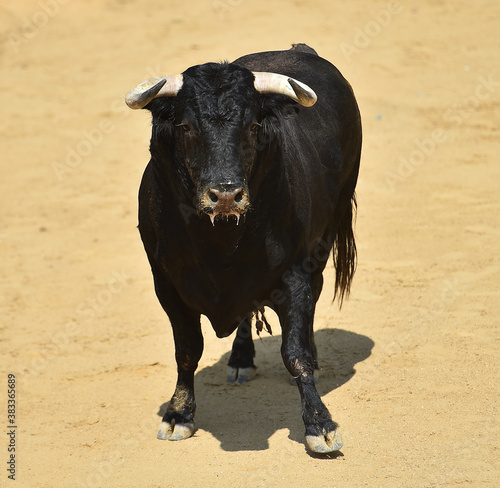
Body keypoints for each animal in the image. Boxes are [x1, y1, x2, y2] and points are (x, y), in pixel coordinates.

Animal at [127, 45, 362, 454]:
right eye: (185, 127)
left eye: (253, 127)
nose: (225, 194)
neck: (220, 246)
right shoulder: (166, 284)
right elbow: (186, 349)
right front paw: (178, 415)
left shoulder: (295, 275)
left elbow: (295, 353)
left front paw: (320, 425)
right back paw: (240, 359)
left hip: (325, 241)